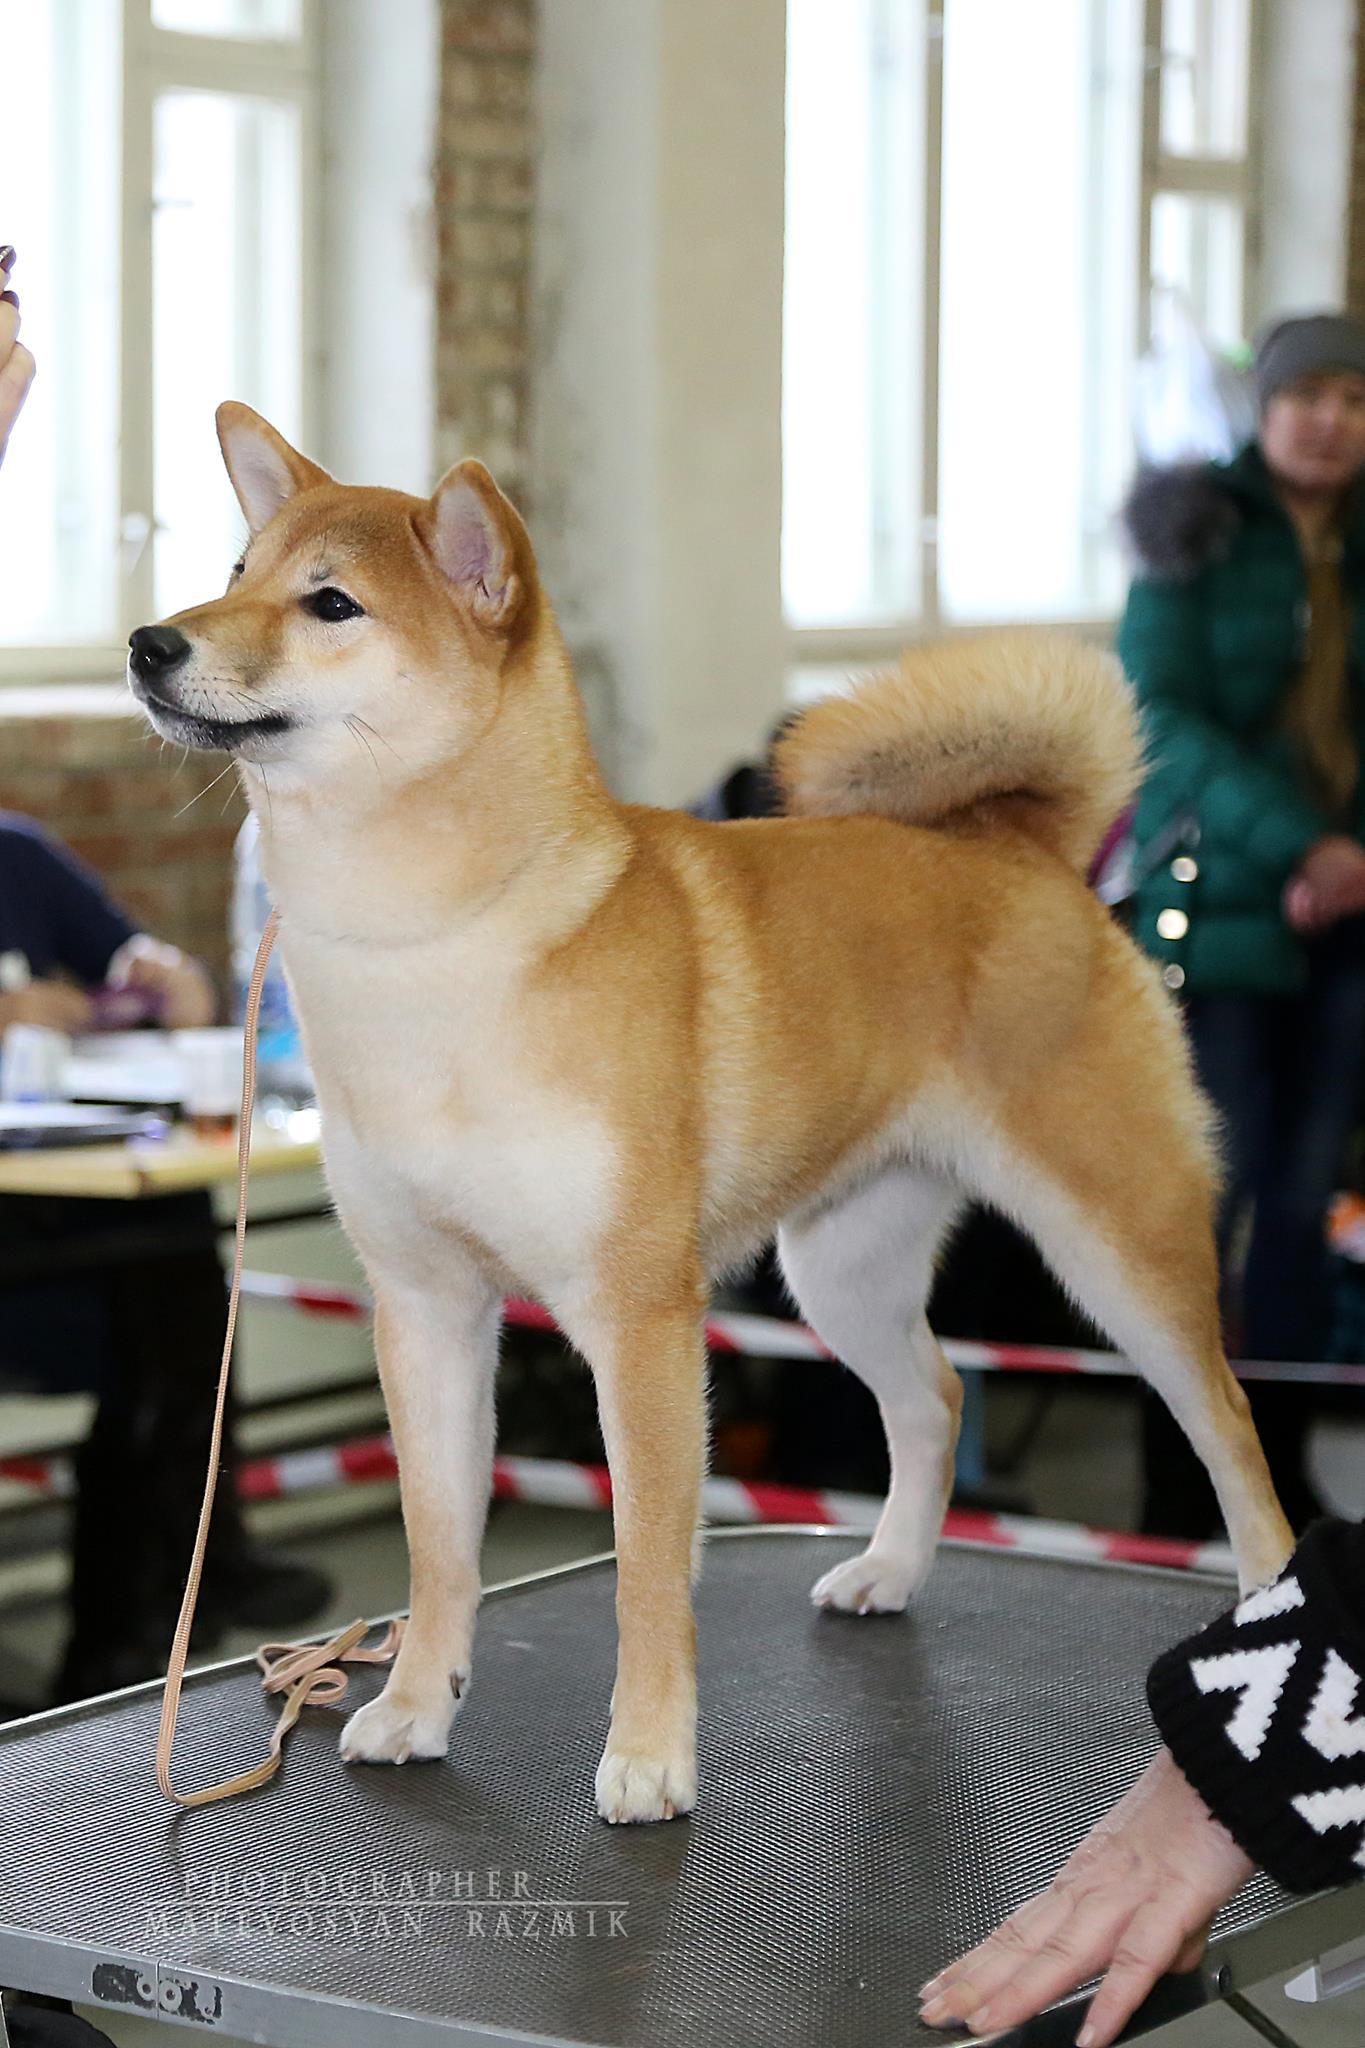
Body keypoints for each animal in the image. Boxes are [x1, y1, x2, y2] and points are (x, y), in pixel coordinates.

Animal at [127, 403, 1293, 1826]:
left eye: (330, 602)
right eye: (235, 572)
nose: (151, 642)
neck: (431, 949)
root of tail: (1022, 851)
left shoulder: (637, 1315)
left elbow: (643, 1568)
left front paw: (647, 1753)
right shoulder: (426, 1304)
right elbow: (438, 1545)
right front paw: (413, 1703)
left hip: (1118, 1243)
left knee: (1230, 1428)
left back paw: (1266, 1603)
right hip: (841, 1265)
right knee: (935, 1396)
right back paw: (889, 1566)